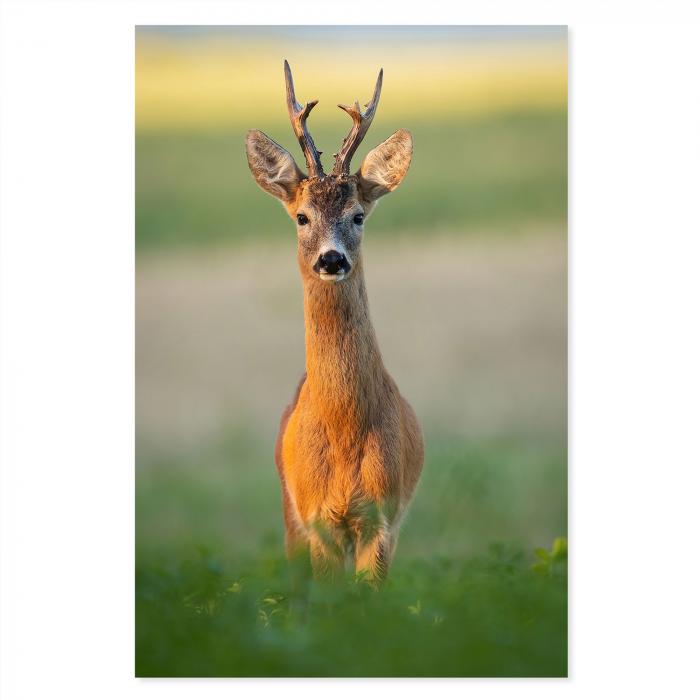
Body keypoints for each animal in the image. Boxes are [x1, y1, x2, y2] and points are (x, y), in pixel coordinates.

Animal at [246, 61, 422, 584]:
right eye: (302, 217)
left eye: (358, 215)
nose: (331, 259)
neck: (345, 429)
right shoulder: (317, 520)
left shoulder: (381, 518)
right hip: (290, 521)